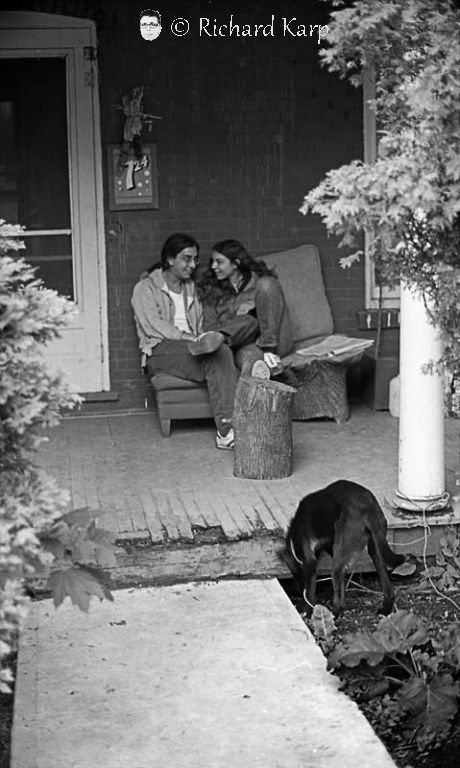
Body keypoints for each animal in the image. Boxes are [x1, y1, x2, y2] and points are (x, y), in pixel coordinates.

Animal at [282, 480, 404, 616]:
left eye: (293, 572)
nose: (297, 590)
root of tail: (365, 505)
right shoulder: (331, 550)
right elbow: (341, 587)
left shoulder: (309, 560)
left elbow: (310, 592)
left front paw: (306, 610)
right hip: (375, 549)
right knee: (389, 590)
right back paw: (384, 610)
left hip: (340, 556)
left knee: (337, 591)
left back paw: (333, 613)